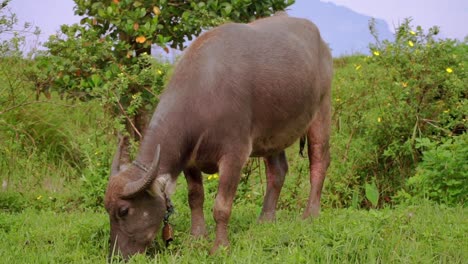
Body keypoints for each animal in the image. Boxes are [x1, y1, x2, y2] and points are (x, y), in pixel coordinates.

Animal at [105, 13, 332, 258]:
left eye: (124, 210)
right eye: (107, 210)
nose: (115, 255)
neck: (202, 95)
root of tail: (321, 42)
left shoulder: (234, 155)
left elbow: (221, 206)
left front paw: (220, 246)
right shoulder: (189, 159)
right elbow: (195, 197)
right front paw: (197, 237)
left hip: (322, 110)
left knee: (319, 161)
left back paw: (310, 214)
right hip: (273, 133)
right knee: (278, 171)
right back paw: (265, 219)